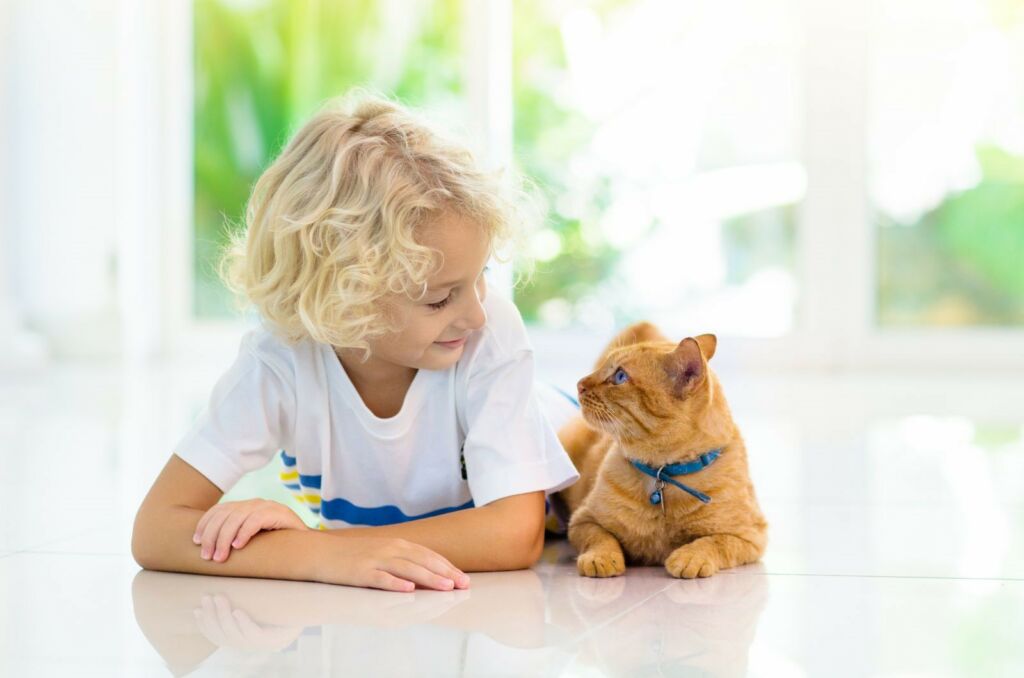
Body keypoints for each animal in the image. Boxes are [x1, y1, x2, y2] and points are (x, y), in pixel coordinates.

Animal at [552, 323, 770, 577]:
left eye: (620, 376)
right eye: (606, 368)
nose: (579, 384)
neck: (663, 473)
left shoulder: (750, 536)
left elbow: (714, 541)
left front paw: (689, 557)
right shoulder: (583, 520)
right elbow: (600, 538)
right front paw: (601, 558)